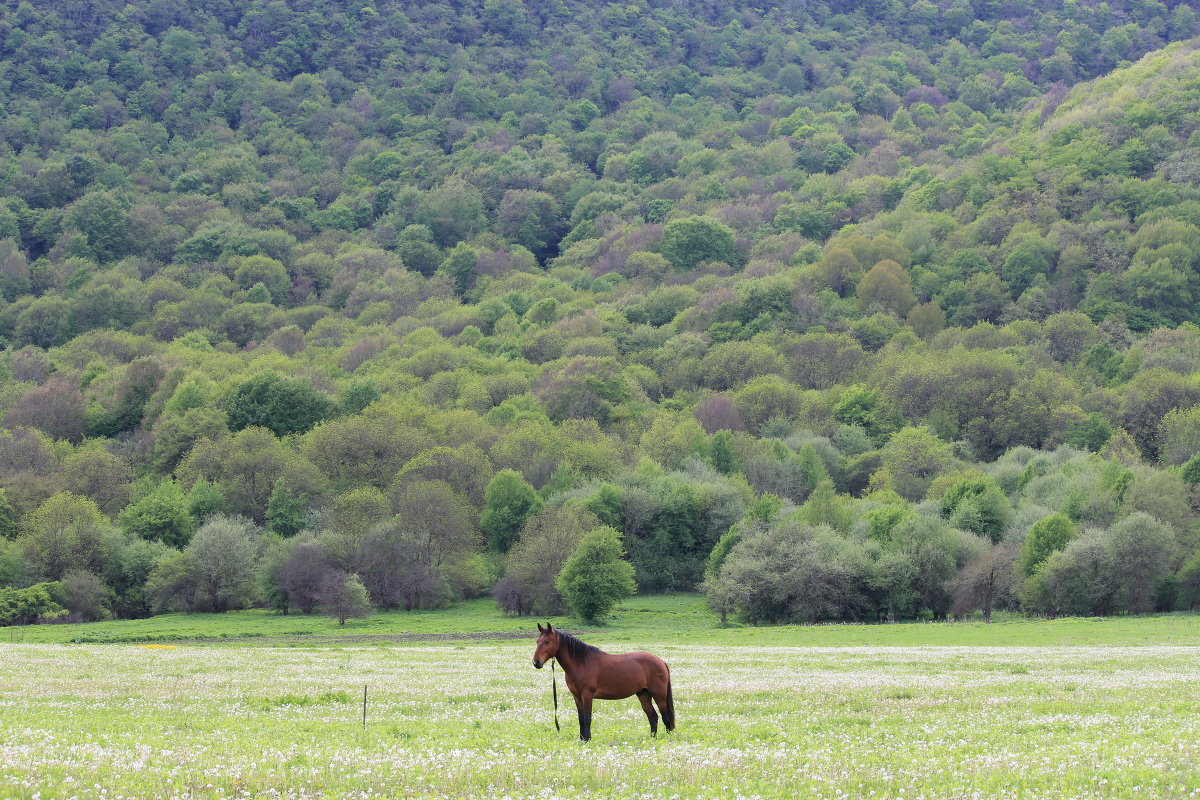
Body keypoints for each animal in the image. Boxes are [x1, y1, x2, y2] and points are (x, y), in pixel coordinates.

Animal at [535, 623, 676, 743]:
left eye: (547, 642)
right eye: (537, 641)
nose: (536, 662)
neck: (581, 663)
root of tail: (660, 661)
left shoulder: (587, 695)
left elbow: (587, 719)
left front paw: (588, 740)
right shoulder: (577, 697)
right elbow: (581, 719)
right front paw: (582, 740)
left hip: (659, 695)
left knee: (666, 717)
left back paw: (667, 738)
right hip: (643, 694)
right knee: (653, 717)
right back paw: (652, 738)